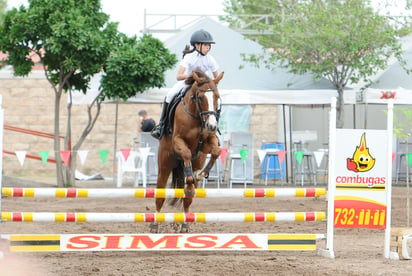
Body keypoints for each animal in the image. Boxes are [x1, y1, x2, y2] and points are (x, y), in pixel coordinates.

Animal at [151, 70, 224, 233]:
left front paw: (202, 173)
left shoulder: (207, 143)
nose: (212, 126)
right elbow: (186, 154)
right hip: (164, 165)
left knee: (187, 199)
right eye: (200, 97)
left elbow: (216, 151)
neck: (196, 116)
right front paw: (191, 180)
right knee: (160, 197)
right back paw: (154, 224)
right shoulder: (177, 141)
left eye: (217, 97)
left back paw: (184, 224)